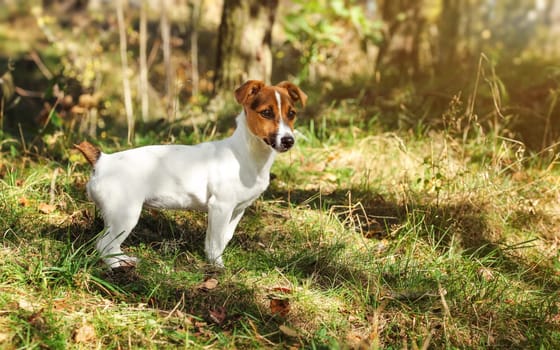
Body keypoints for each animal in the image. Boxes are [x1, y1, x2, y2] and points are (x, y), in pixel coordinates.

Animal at [75, 81, 306, 268]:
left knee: (108, 244)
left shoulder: (237, 209)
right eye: (266, 113)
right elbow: (215, 241)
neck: (245, 154)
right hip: (125, 214)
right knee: (104, 244)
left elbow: (223, 237)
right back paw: (118, 265)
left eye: (292, 114)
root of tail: (102, 160)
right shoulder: (220, 206)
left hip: (116, 216)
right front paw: (217, 267)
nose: (288, 141)